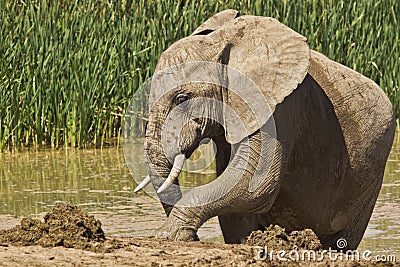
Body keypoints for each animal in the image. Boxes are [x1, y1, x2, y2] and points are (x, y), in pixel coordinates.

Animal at [136, 8, 396, 251]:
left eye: (182, 98)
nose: (196, 238)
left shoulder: (279, 108)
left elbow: (257, 185)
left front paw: (168, 235)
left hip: (369, 180)